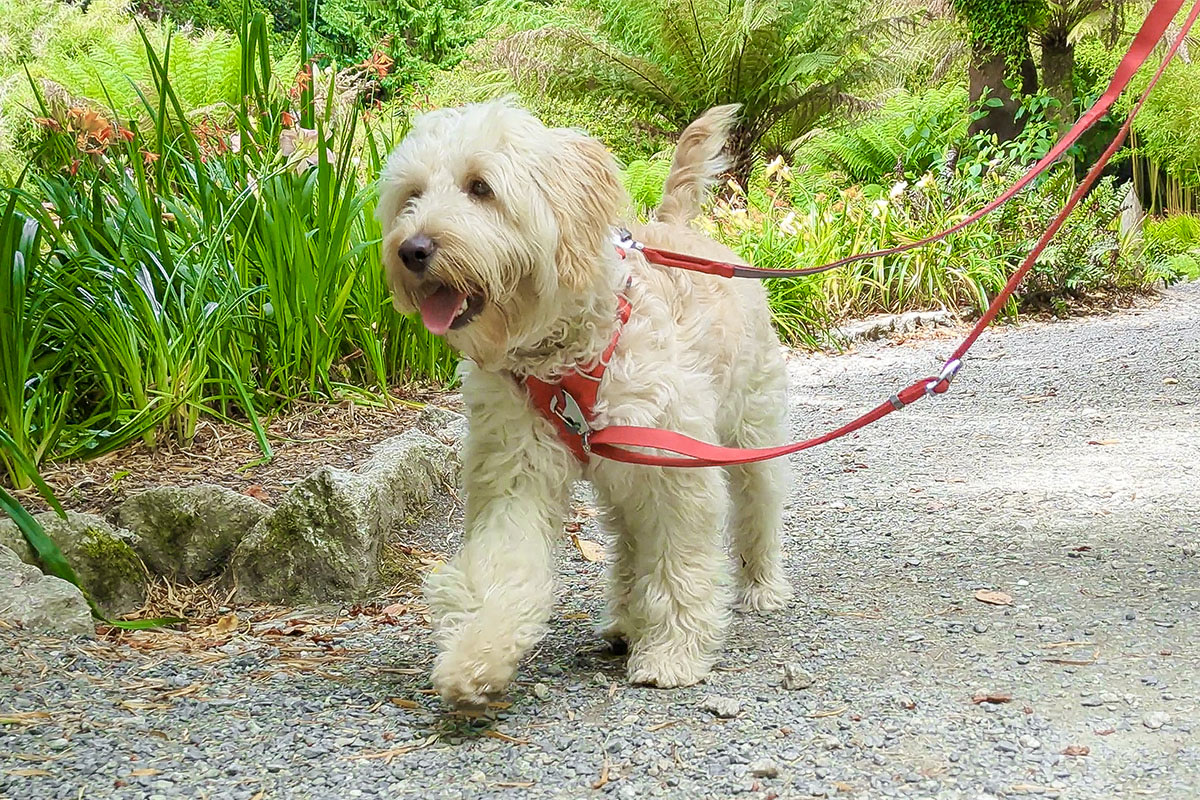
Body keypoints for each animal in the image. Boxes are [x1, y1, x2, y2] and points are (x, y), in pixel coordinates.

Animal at [374, 100, 787, 705]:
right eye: (412, 195)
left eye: (480, 187)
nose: (412, 249)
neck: (562, 358)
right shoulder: (514, 471)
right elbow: (504, 562)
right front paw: (476, 652)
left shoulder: (673, 467)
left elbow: (681, 563)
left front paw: (673, 653)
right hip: (621, 478)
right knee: (632, 544)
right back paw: (625, 620)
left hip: (749, 428)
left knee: (759, 506)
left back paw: (761, 586)